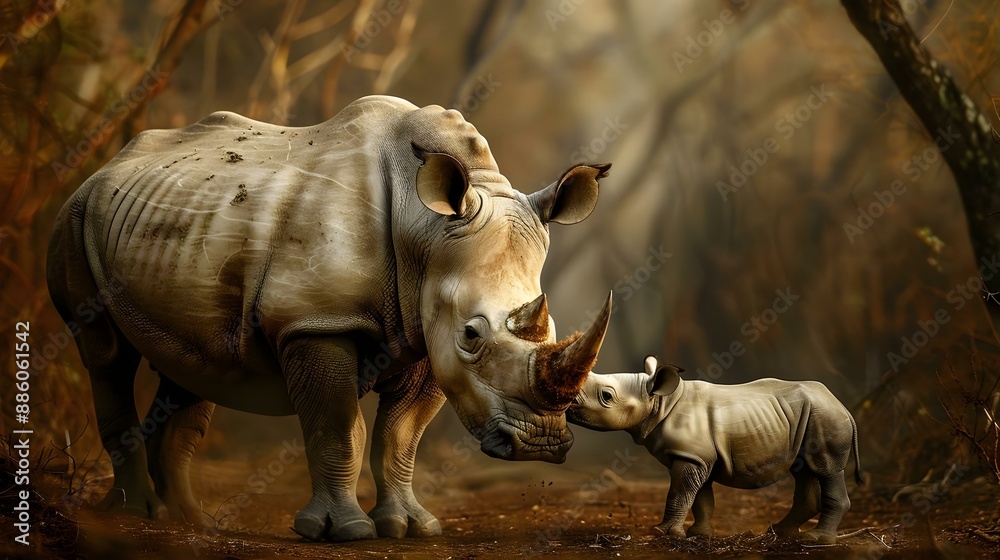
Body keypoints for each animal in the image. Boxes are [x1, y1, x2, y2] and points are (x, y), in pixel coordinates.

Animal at [46, 95, 614, 541]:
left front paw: (412, 528)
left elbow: (400, 436)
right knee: (106, 356)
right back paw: (133, 515)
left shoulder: (427, 333)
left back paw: (187, 522)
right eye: (472, 335)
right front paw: (345, 532)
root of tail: (105, 166)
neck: (426, 230)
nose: (541, 443)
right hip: (74, 217)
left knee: (193, 368)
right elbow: (338, 427)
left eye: (554, 330)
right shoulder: (319, 322)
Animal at [566, 356, 861, 544]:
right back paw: (779, 532)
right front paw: (699, 535)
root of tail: (844, 407)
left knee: (826, 470)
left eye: (606, 396)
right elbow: (700, 498)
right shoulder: (698, 456)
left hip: (826, 417)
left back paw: (818, 539)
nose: (566, 404)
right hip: (808, 417)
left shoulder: (691, 457)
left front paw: (663, 532)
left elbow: (679, 494)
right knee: (805, 470)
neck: (660, 402)